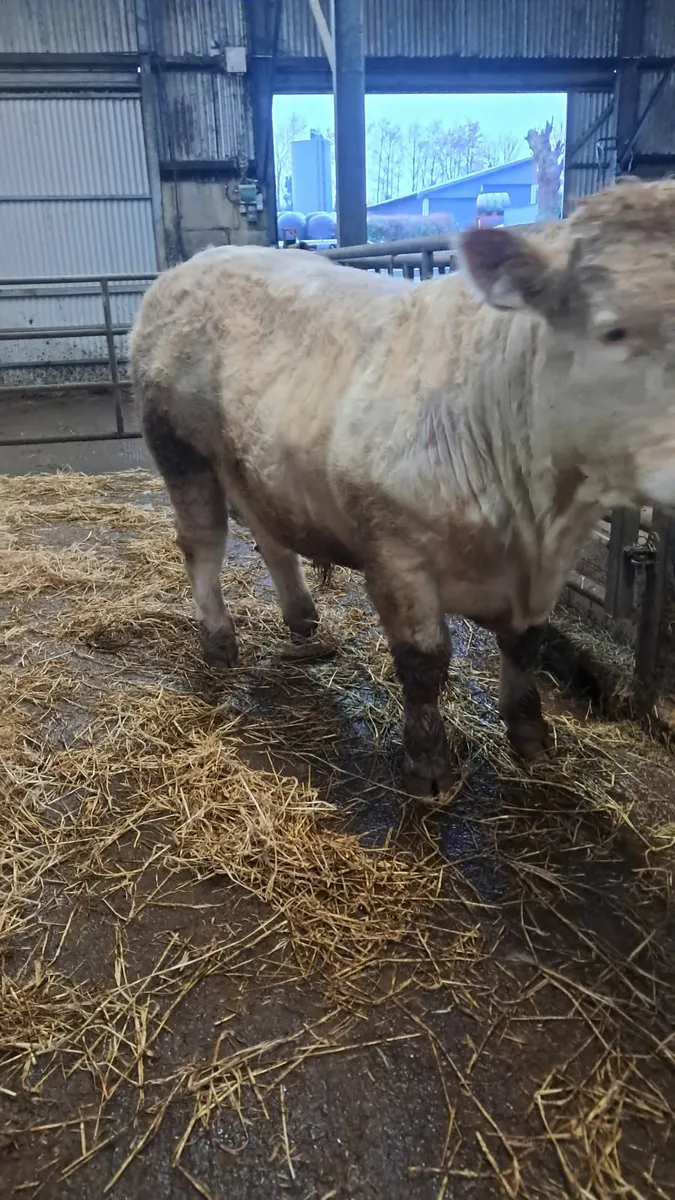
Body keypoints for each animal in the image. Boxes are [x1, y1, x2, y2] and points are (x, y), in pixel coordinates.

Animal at [130, 179, 675, 796]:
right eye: (613, 329)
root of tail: (187, 267)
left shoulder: (549, 568)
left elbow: (526, 645)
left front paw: (530, 735)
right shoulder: (395, 548)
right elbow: (423, 661)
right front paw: (428, 764)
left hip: (254, 464)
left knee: (271, 538)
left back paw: (303, 619)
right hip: (181, 449)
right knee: (204, 544)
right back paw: (219, 639)